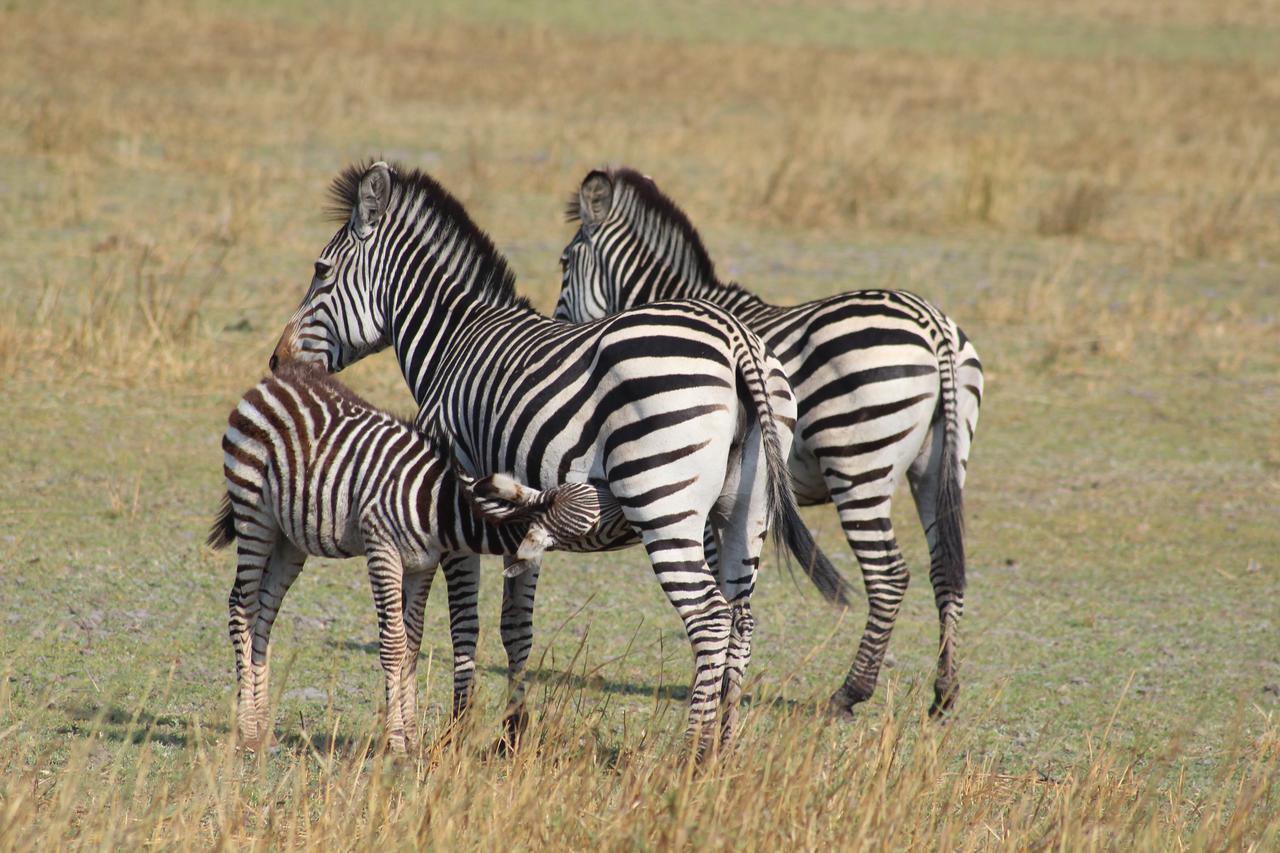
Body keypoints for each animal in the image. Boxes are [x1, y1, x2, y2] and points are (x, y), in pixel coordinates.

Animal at [207, 358, 616, 753]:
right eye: (603, 510)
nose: (626, 492)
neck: (441, 506)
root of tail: (271, 383)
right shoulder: (382, 550)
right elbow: (393, 644)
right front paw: (396, 742)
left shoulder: (423, 564)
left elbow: (412, 645)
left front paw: (412, 737)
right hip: (253, 510)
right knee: (241, 606)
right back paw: (247, 731)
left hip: (289, 536)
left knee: (264, 612)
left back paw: (264, 730)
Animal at [268, 161, 849, 753]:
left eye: (321, 271)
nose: (278, 360)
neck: (453, 341)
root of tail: (736, 339)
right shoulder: (519, 517)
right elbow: (515, 626)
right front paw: (511, 734)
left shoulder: (449, 502)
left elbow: (460, 622)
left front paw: (456, 730)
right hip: (745, 510)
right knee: (741, 618)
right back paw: (722, 750)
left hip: (663, 500)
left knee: (709, 618)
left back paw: (689, 756)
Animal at [555, 167, 983, 717]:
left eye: (564, 262)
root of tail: (932, 325)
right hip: (941, 462)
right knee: (946, 566)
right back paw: (944, 692)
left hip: (858, 464)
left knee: (889, 576)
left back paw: (850, 692)